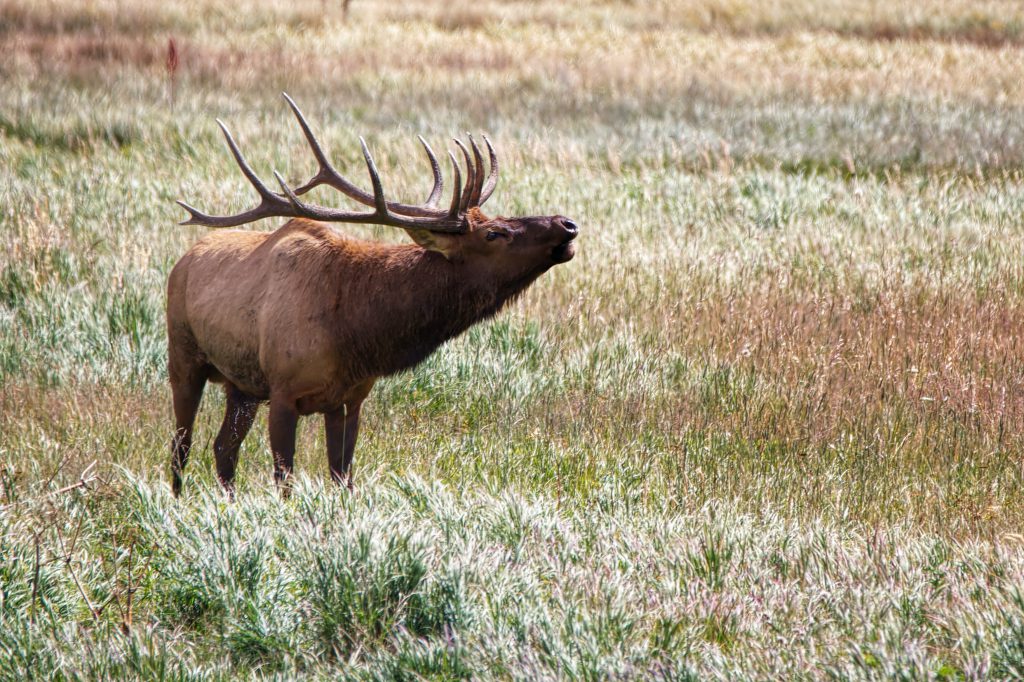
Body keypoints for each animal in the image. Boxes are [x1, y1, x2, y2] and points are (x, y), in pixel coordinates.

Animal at [172, 93, 581, 491]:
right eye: (494, 233)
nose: (567, 224)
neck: (354, 334)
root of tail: (184, 259)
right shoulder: (283, 390)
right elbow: (284, 479)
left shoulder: (349, 398)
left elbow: (343, 478)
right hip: (184, 356)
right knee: (182, 446)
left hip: (243, 386)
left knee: (223, 447)